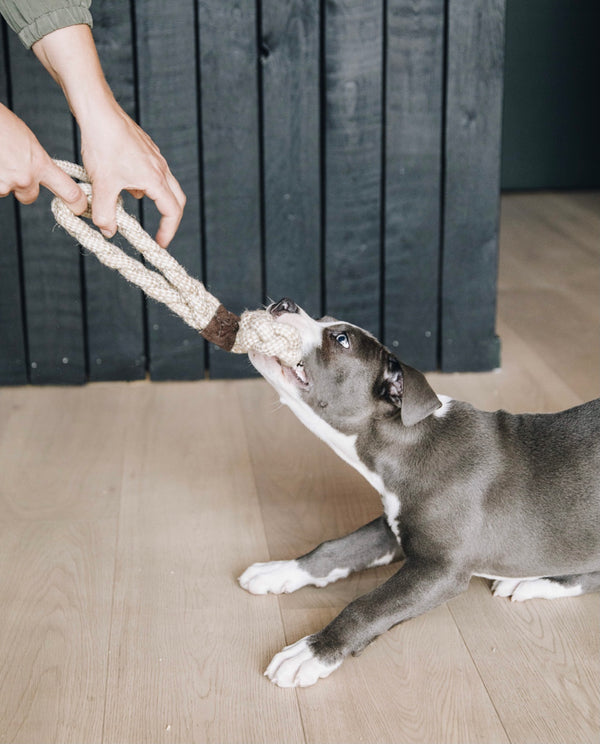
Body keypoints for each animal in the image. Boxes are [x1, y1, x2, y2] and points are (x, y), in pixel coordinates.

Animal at [239, 296, 600, 684]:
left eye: (341, 340)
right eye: (323, 318)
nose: (284, 302)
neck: (411, 441)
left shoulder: (441, 570)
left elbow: (366, 606)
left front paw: (313, 651)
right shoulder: (392, 528)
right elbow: (334, 549)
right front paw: (279, 571)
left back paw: (532, 582)